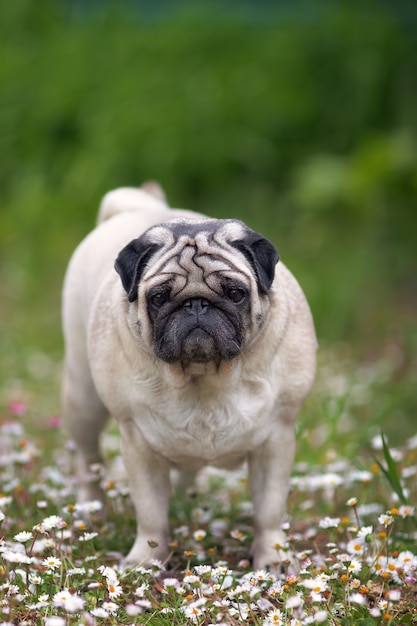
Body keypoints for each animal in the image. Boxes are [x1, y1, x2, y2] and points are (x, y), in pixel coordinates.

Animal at [61, 183, 316, 568]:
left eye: (235, 293)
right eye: (159, 297)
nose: (196, 304)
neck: (204, 376)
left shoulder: (276, 440)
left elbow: (269, 510)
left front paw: (273, 558)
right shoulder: (139, 445)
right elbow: (151, 512)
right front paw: (146, 559)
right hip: (84, 400)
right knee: (89, 459)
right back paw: (94, 508)